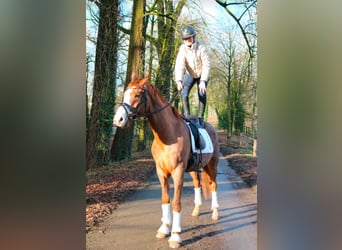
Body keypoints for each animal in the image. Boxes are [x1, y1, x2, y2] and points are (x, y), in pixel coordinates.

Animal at [112, 73, 219, 249]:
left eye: (137, 95)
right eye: (125, 93)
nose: (118, 120)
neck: (168, 135)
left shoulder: (178, 172)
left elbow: (176, 203)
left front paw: (175, 236)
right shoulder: (161, 172)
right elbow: (165, 199)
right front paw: (164, 228)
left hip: (212, 165)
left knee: (213, 185)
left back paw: (216, 212)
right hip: (194, 169)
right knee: (197, 184)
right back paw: (197, 210)